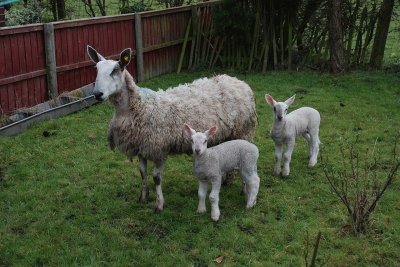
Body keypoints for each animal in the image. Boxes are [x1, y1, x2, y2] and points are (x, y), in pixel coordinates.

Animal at [86, 46, 258, 214]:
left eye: (115, 70)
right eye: (96, 69)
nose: (97, 94)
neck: (139, 108)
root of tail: (238, 81)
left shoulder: (158, 149)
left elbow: (156, 178)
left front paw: (159, 205)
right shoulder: (141, 147)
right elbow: (142, 172)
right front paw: (143, 197)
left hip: (244, 131)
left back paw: (244, 190)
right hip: (231, 134)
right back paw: (228, 181)